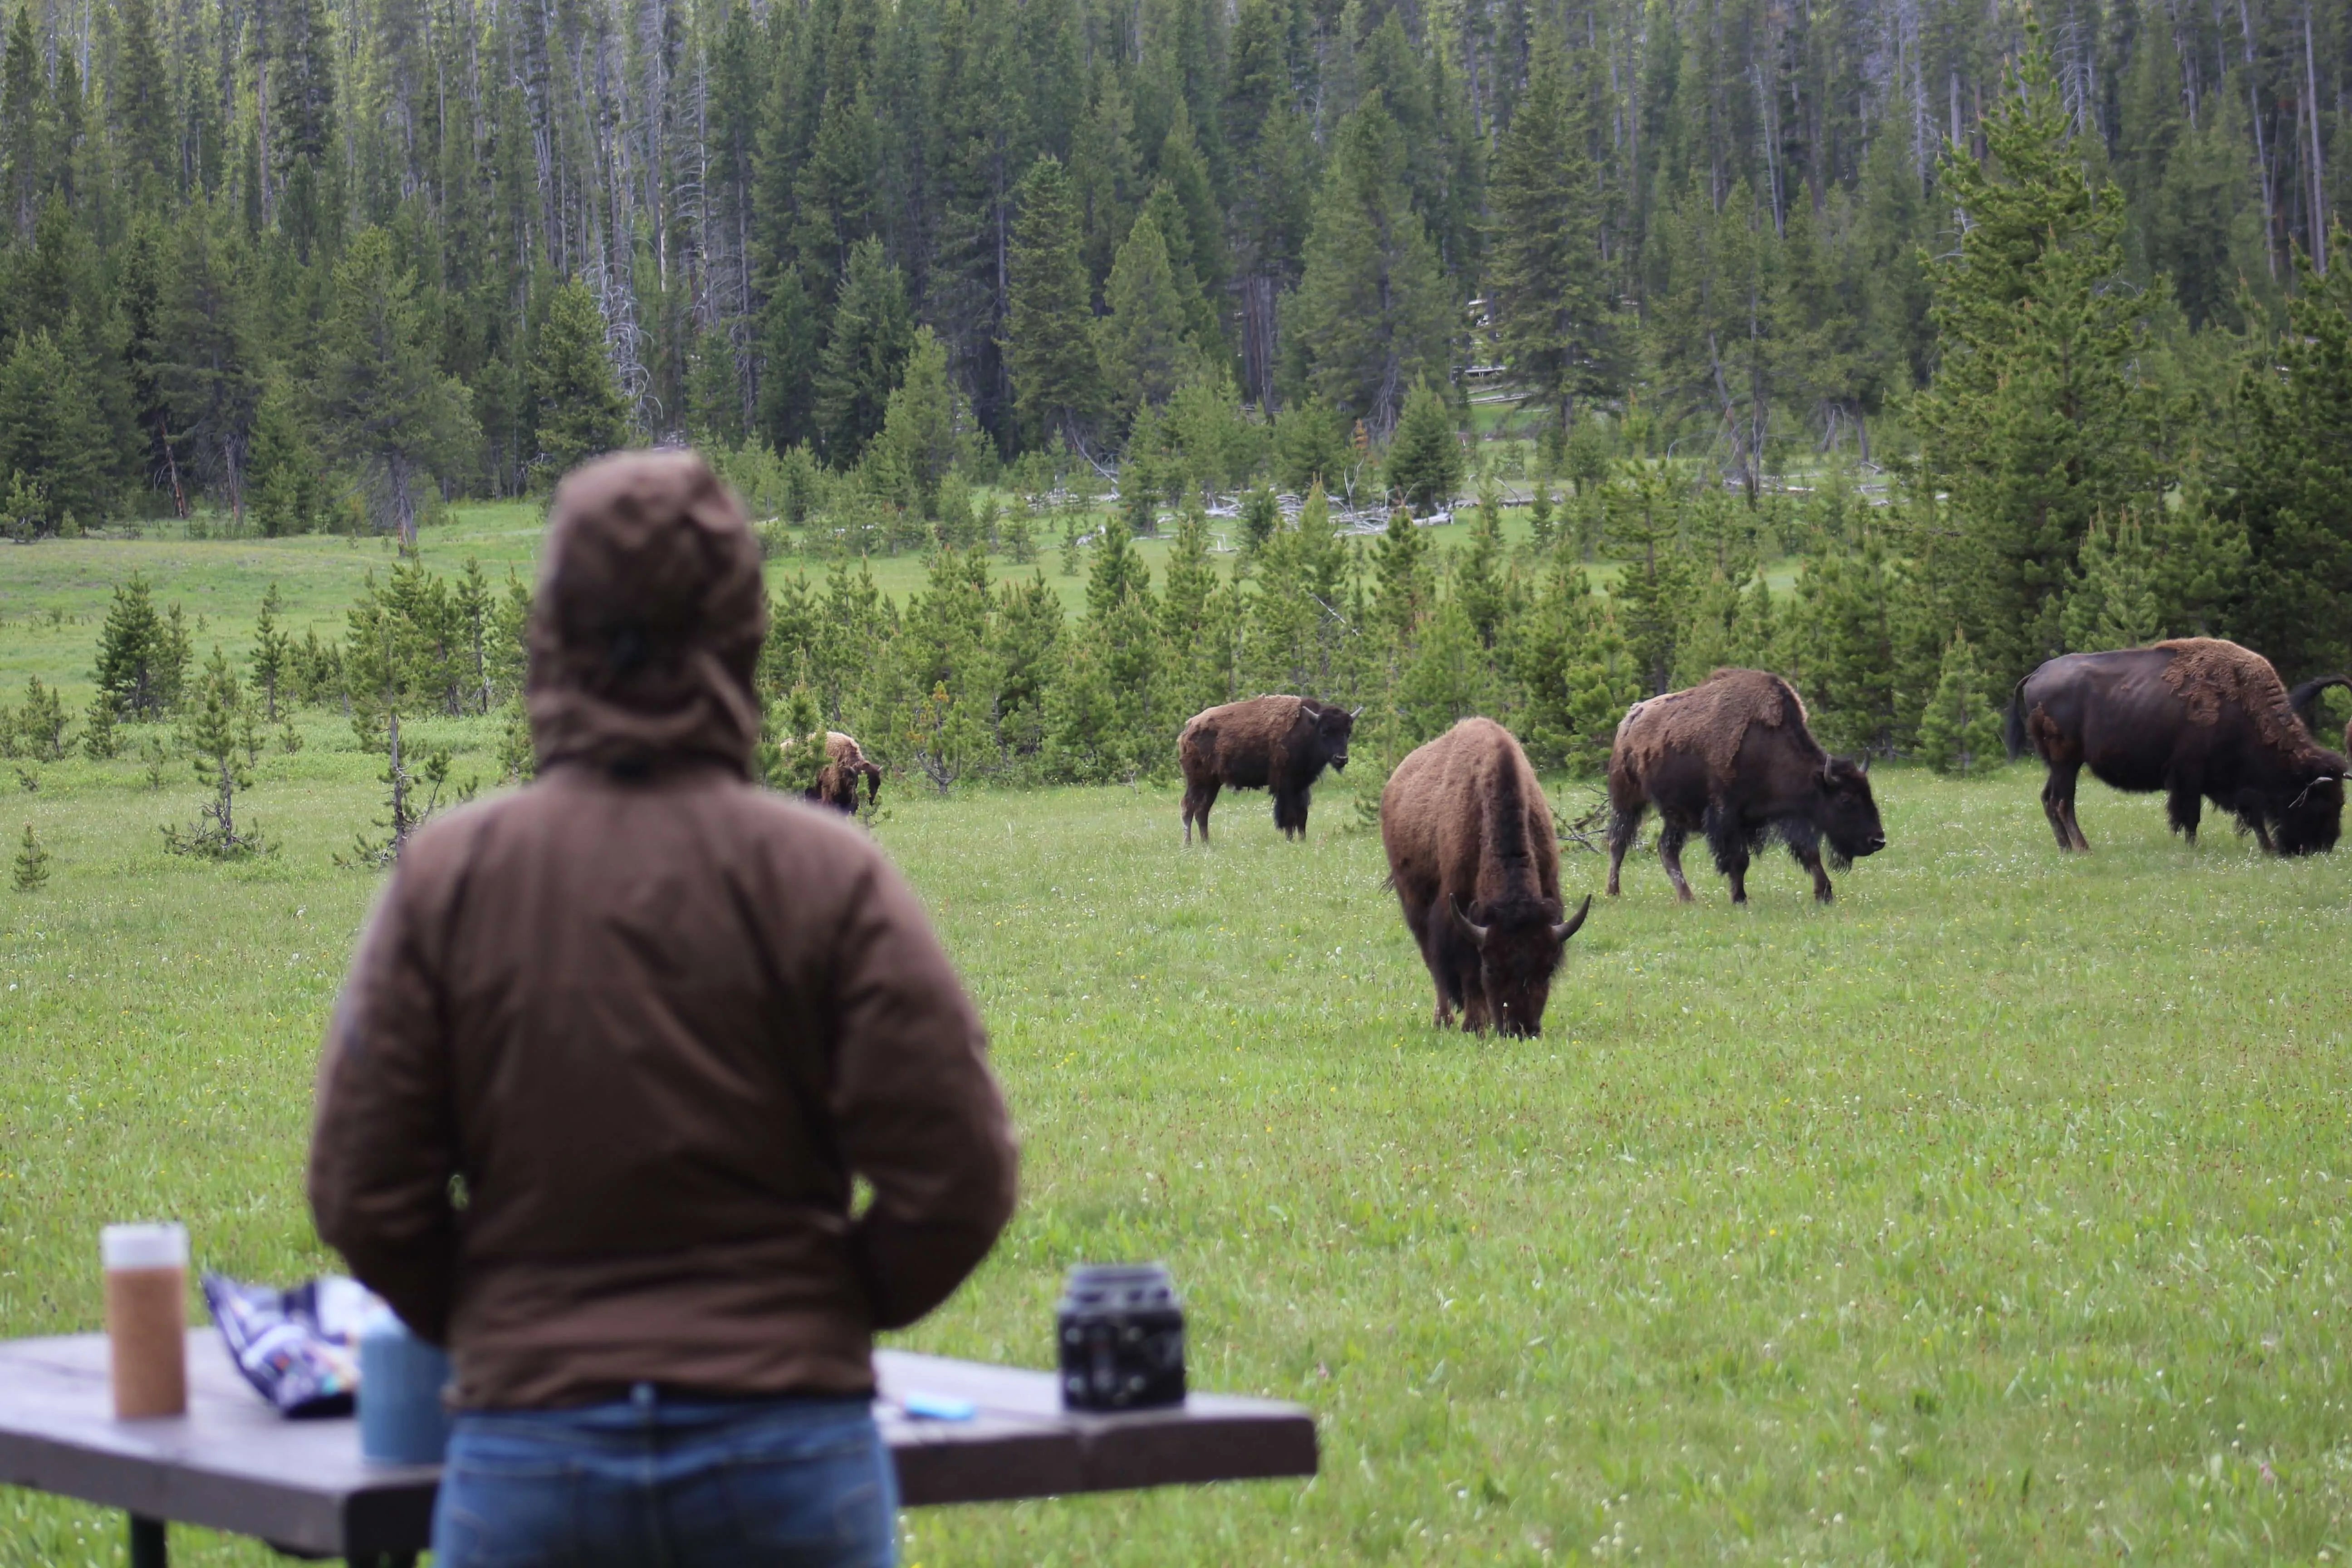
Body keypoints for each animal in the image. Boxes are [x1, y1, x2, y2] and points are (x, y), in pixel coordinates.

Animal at [1178, 695, 1355, 843]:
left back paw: (1206, 843)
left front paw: (1302, 839)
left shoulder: (1301, 785)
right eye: (1325, 732)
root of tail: (1188, 730)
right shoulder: (1286, 785)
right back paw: (1188, 844)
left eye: (1348, 733)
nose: (1341, 759)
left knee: (1202, 810)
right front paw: (1290, 840)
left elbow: (1302, 814)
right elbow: (1289, 814)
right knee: (1188, 807)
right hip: (1197, 781)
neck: (1309, 728)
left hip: (1212, 783)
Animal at [1381, 717, 1592, 1036]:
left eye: (1546, 968)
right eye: (1491, 967)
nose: (1521, 1029)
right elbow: (1467, 972)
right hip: (1415, 907)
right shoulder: (1457, 915)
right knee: (1435, 966)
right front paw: (1474, 1025)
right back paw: (1444, 1021)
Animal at [1606, 668, 1886, 904]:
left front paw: (1824, 893)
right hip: (1628, 800)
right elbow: (1739, 859)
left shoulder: (1789, 815)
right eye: (1846, 799)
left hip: (1677, 815)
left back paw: (1688, 897)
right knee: (1619, 843)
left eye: (1868, 793)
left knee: (1666, 849)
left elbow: (1810, 852)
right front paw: (1739, 898)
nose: (1878, 840)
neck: (1767, 749)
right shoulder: (1728, 814)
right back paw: (1613, 891)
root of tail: (1630, 718)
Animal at [2007, 638, 2345, 854]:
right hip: (2066, 761)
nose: (2324, 847)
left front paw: (2267, 847)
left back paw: (2066, 848)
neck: (2243, 706)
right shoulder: (2189, 775)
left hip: (2057, 764)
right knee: (2063, 802)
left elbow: (2250, 816)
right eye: (2323, 801)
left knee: (2049, 799)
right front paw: (2193, 847)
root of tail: (2036, 674)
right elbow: (2191, 815)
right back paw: (2083, 848)